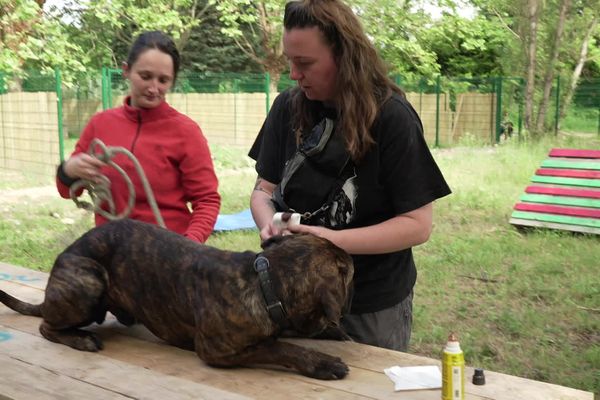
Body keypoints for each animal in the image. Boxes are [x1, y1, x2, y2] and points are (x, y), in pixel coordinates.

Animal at [0, 220, 354, 380]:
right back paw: (80, 339)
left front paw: (333, 332)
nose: (352, 256)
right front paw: (323, 362)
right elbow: (279, 347)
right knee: (47, 327)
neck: (265, 282)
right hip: (89, 279)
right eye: (346, 270)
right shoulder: (216, 350)